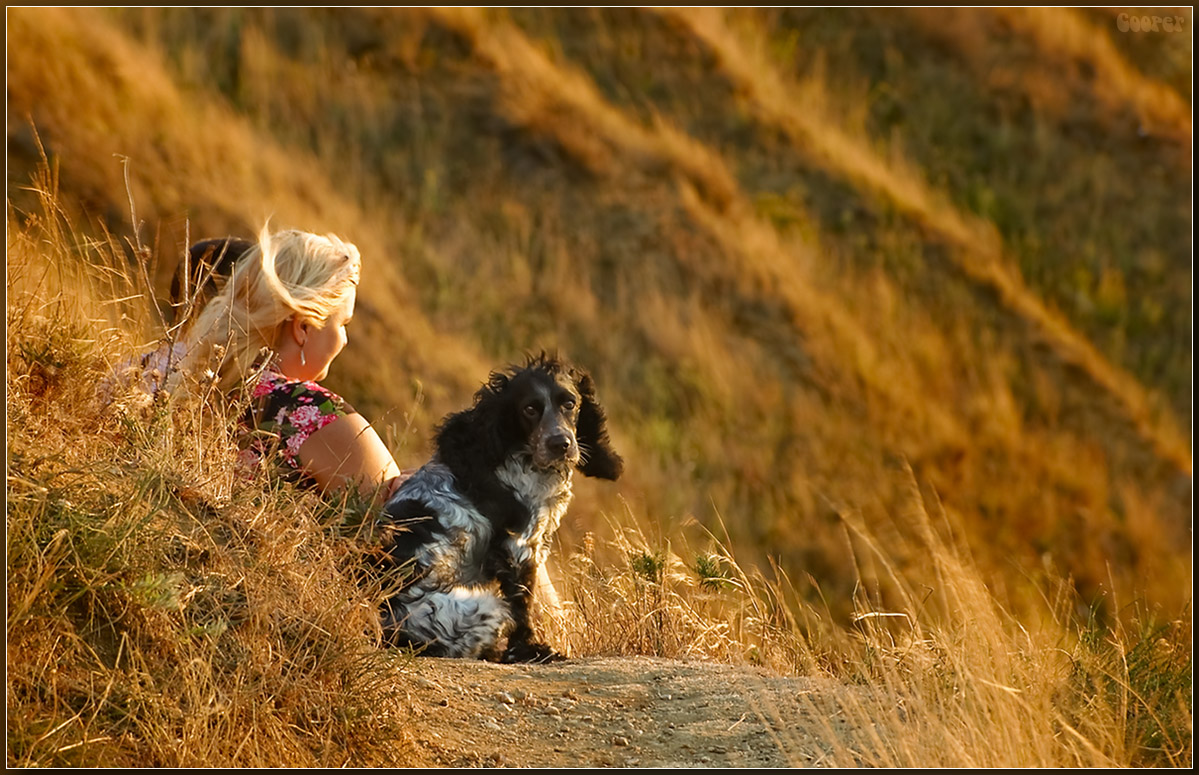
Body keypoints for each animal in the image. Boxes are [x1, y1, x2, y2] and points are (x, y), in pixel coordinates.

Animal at [376, 352, 623, 662]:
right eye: (529, 409)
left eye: (570, 404)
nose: (560, 444)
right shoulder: (519, 547)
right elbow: (522, 607)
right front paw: (532, 650)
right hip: (479, 608)